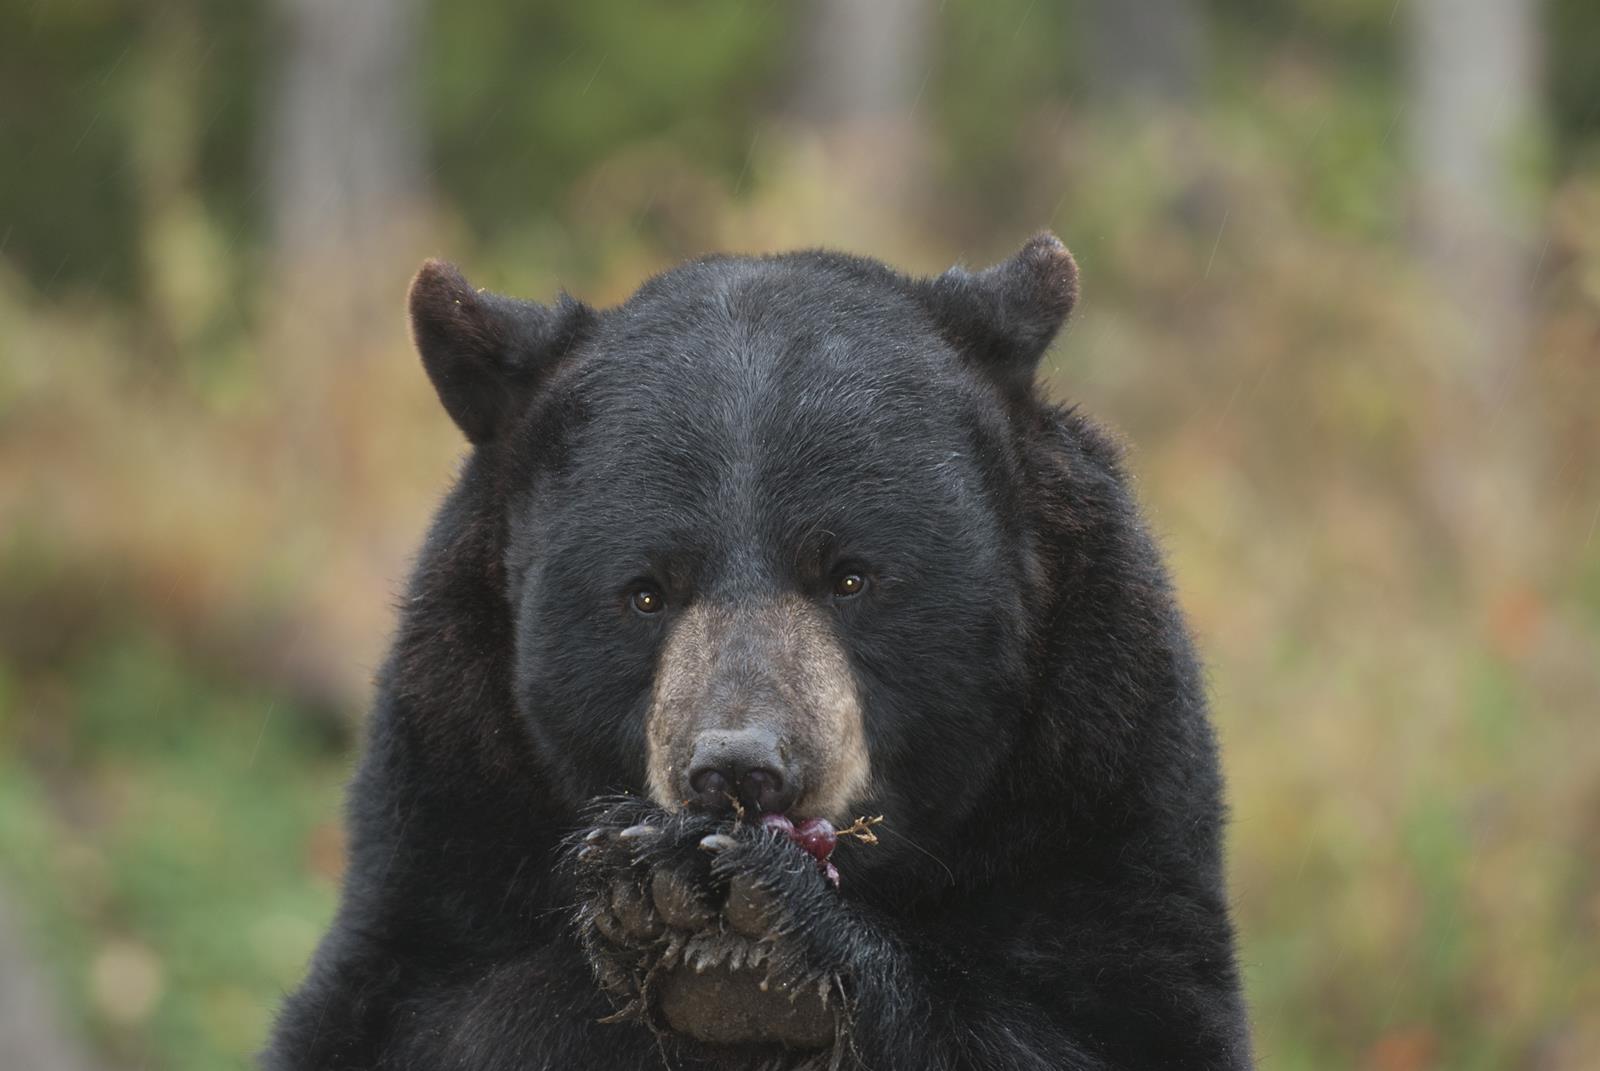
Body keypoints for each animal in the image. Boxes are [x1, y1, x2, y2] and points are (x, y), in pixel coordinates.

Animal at [262, 235, 1254, 1069]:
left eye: (850, 575)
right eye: (646, 590)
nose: (741, 769)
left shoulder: (1094, 780)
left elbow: (1112, 1022)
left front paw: (753, 922)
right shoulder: (450, 811)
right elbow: (412, 1016)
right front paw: (668, 906)